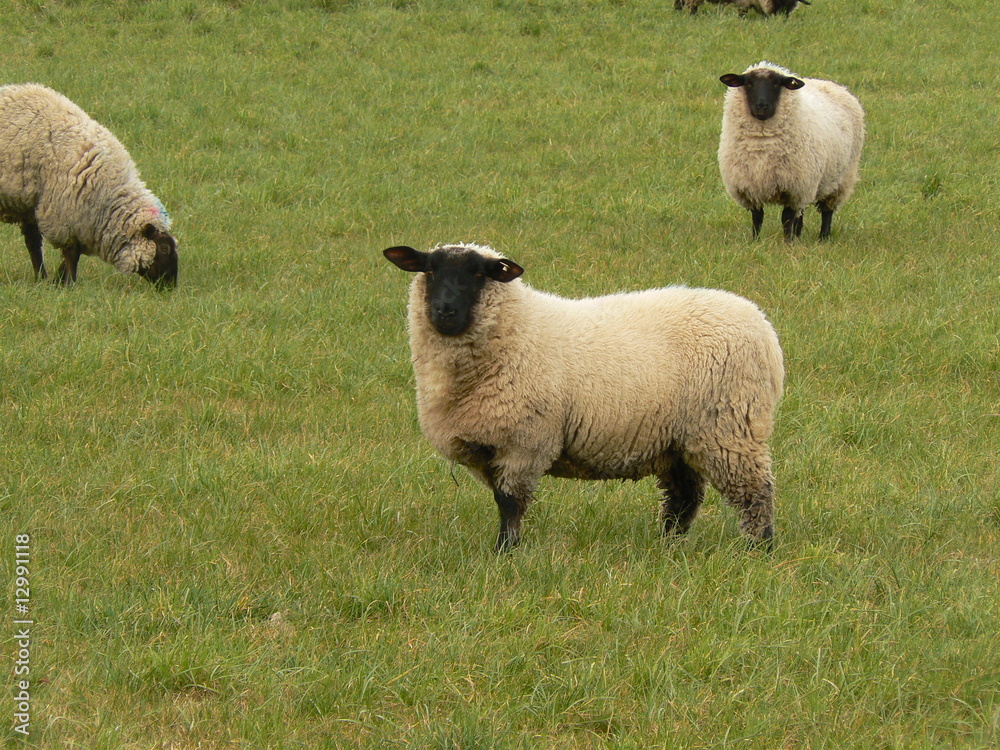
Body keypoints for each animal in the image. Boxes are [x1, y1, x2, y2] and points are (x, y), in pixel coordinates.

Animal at [0, 83, 177, 286]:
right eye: (163, 248)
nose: (171, 287)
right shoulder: (65, 217)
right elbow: (70, 254)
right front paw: (69, 283)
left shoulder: (76, 221)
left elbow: (50, 248)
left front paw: (54, 280)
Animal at [384, 242, 784, 553]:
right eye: (430, 271)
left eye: (480, 274)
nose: (445, 311)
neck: (518, 329)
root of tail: (763, 326)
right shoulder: (490, 445)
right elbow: (502, 501)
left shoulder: (525, 441)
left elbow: (509, 503)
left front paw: (504, 552)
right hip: (677, 436)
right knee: (685, 497)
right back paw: (668, 545)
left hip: (729, 428)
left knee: (754, 493)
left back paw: (758, 549)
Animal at [718, 61, 865, 241]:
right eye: (748, 83)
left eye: (776, 84)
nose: (761, 106)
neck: (762, 143)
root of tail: (832, 84)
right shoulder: (750, 186)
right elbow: (757, 217)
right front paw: (755, 241)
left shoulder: (793, 187)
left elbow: (786, 218)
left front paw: (787, 242)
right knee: (801, 213)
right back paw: (799, 236)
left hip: (839, 179)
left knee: (827, 211)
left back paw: (823, 238)